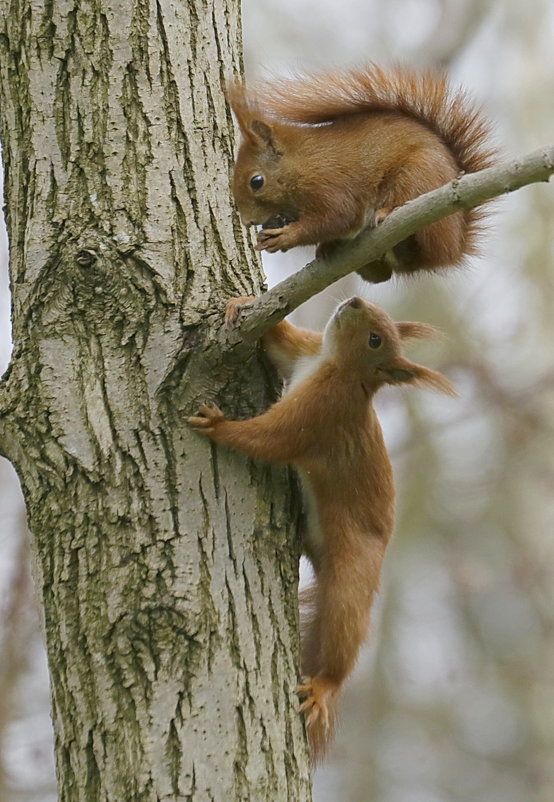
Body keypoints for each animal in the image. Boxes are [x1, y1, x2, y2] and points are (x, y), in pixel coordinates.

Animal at [185, 294, 452, 756]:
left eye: (375, 338)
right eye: (375, 312)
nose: (355, 299)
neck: (332, 364)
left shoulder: (323, 411)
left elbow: (276, 439)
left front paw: (219, 426)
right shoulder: (304, 351)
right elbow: (280, 341)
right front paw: (242, 303)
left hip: (353, 578)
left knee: (343, 632)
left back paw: (324, 687)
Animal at [226, 66, 494, 284]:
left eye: (256, 181)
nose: (247, 221)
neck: (302, 165)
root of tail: (456, 244)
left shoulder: (330, 183)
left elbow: (338, 217)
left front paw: (285, 237)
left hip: (416, 177)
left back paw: (386, 213)